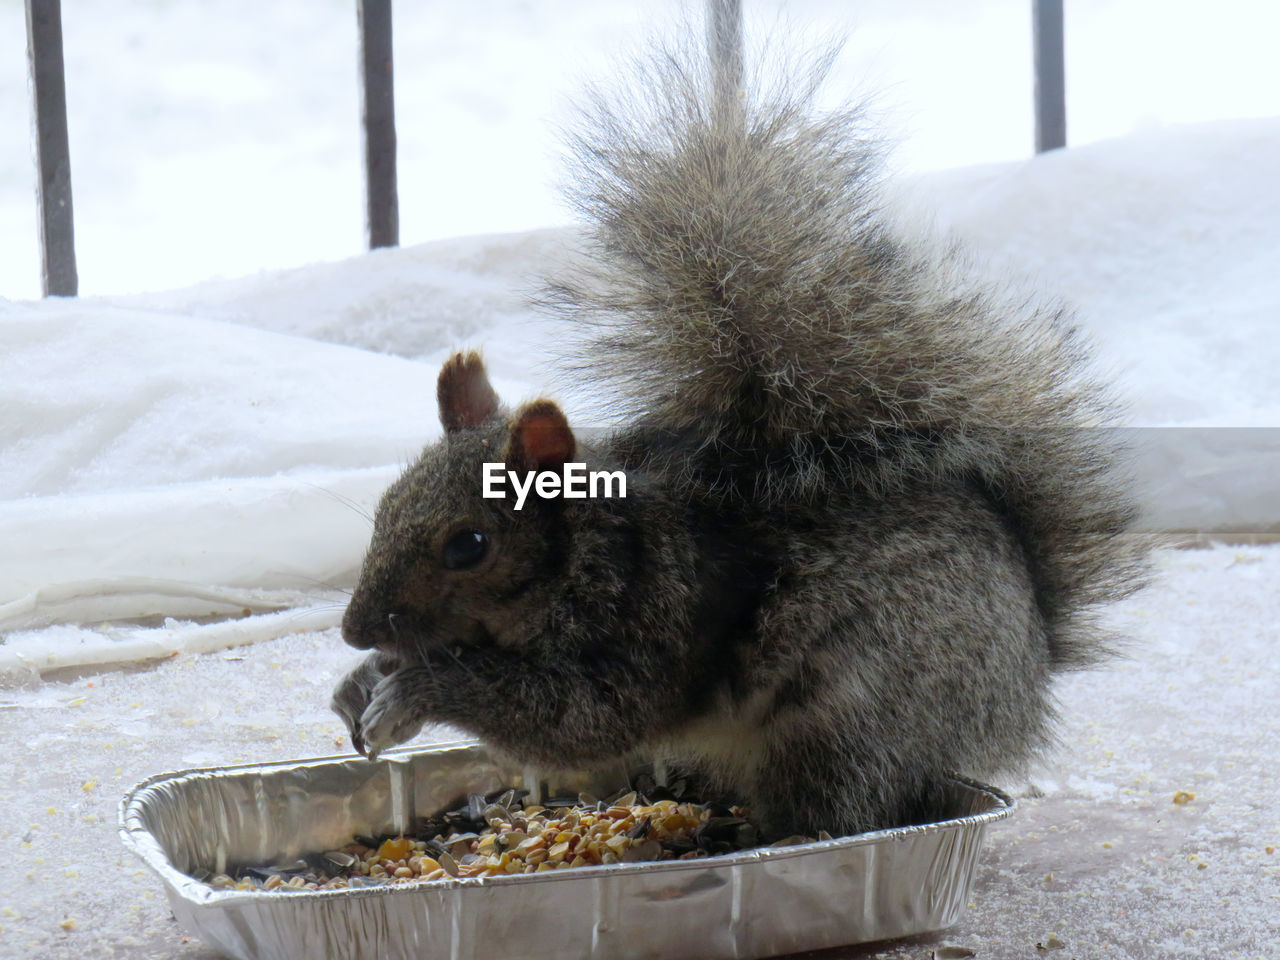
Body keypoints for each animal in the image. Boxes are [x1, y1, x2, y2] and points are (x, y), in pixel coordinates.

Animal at [327, 16, 1141, 839]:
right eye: (385, 507)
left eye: (470, 545)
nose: (356, 630)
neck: (586, 552)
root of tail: (1024, 681)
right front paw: (358, 683)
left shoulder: (650, 623)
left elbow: (577, 718)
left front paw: (415, 693)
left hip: (855, 706)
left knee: (843, 801)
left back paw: (766, 834)